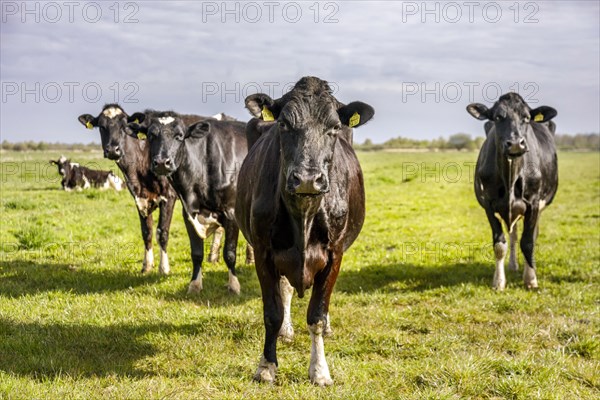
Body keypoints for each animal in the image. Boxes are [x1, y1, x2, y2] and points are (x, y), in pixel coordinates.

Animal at [125, 109, 250, 294]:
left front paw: (234, 286)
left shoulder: (231, 212)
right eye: (150, 135)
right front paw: (194, 285)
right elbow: (196, 253)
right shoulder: (189, 213)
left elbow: (230, 252)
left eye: (180, 136)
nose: (161, 162)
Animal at [237, 76, 372, 386]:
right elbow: (272, 313)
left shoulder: (334, 254)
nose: (308, 179)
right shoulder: (263, 252)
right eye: (284, 125)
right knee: (285, 290)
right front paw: (266, 366)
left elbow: (317, 315)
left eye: (334, 127)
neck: (304, 215)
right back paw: (286, 331)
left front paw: (320, 371)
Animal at [466, 92, 560, 290]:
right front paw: (499, 282)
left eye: (526, 117)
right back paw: (513, 265)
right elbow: (500, 243)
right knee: (514, 234)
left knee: (531, 235)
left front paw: (531, 279)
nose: (516, 144)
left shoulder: (533, 203)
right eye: (497, 117)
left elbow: (528, 242)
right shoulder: (489, 204)